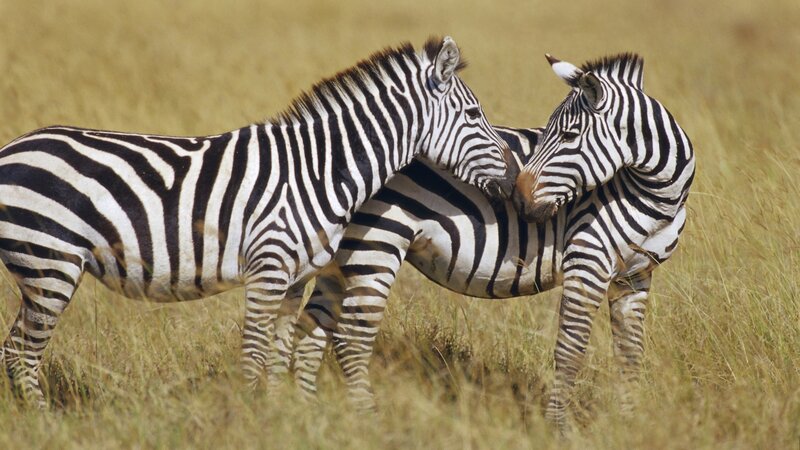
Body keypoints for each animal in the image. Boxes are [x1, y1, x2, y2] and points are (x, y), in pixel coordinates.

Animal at [0, 36, 517, 406]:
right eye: (474, 114)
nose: (516, 177)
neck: (320, 168)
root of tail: (13, 148)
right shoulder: (268, 267)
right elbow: (253, 353)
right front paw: (256, 418)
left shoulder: (296, 275)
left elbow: (279, 353)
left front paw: (279, 413)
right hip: (51, 264)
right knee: (23, 352)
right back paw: (45, 423)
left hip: (41, 270)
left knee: (14, 349)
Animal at [290, 53, 695, 431]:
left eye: (568, 136)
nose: (518, 198)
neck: (658, 196)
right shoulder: (588, 261)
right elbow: (570, 349)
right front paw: (559, 428)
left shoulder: (635, 276)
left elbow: (630, 354)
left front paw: (630, 423)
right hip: (376, 240)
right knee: (350, 338)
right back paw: (368, 422)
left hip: (341, 256)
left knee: (312, 328)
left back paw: (308, 411)